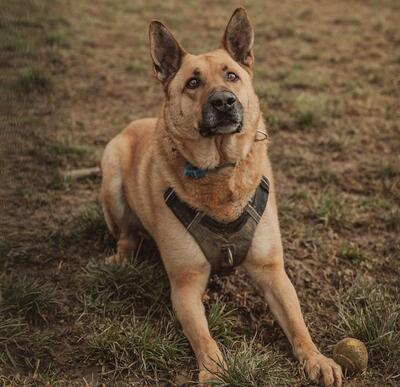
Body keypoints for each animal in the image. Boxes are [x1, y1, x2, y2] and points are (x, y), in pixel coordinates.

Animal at [100, 9, 340, 387]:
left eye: (232, 76)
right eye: (192, 83)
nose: (224, 101)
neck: (221, 169)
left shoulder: (271, 271)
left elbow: (297, 321)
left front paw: (316, 358)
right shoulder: (184, 285)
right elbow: (203, 336)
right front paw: (213, 371)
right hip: (110, 171)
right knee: (126, 236)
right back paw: (122, 257)